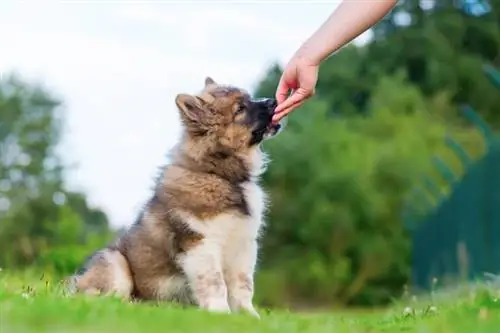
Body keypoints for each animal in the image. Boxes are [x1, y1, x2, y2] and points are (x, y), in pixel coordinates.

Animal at [68, 76, 284, 316]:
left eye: (248, 98)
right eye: (240, 109)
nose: (273, 101)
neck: (220, 174)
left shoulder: (244, 245)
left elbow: (243, 285)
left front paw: (248, 316)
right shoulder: (201, 244)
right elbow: (215, 282)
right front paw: (219, 313)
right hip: (115, 264)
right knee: (101, 297)